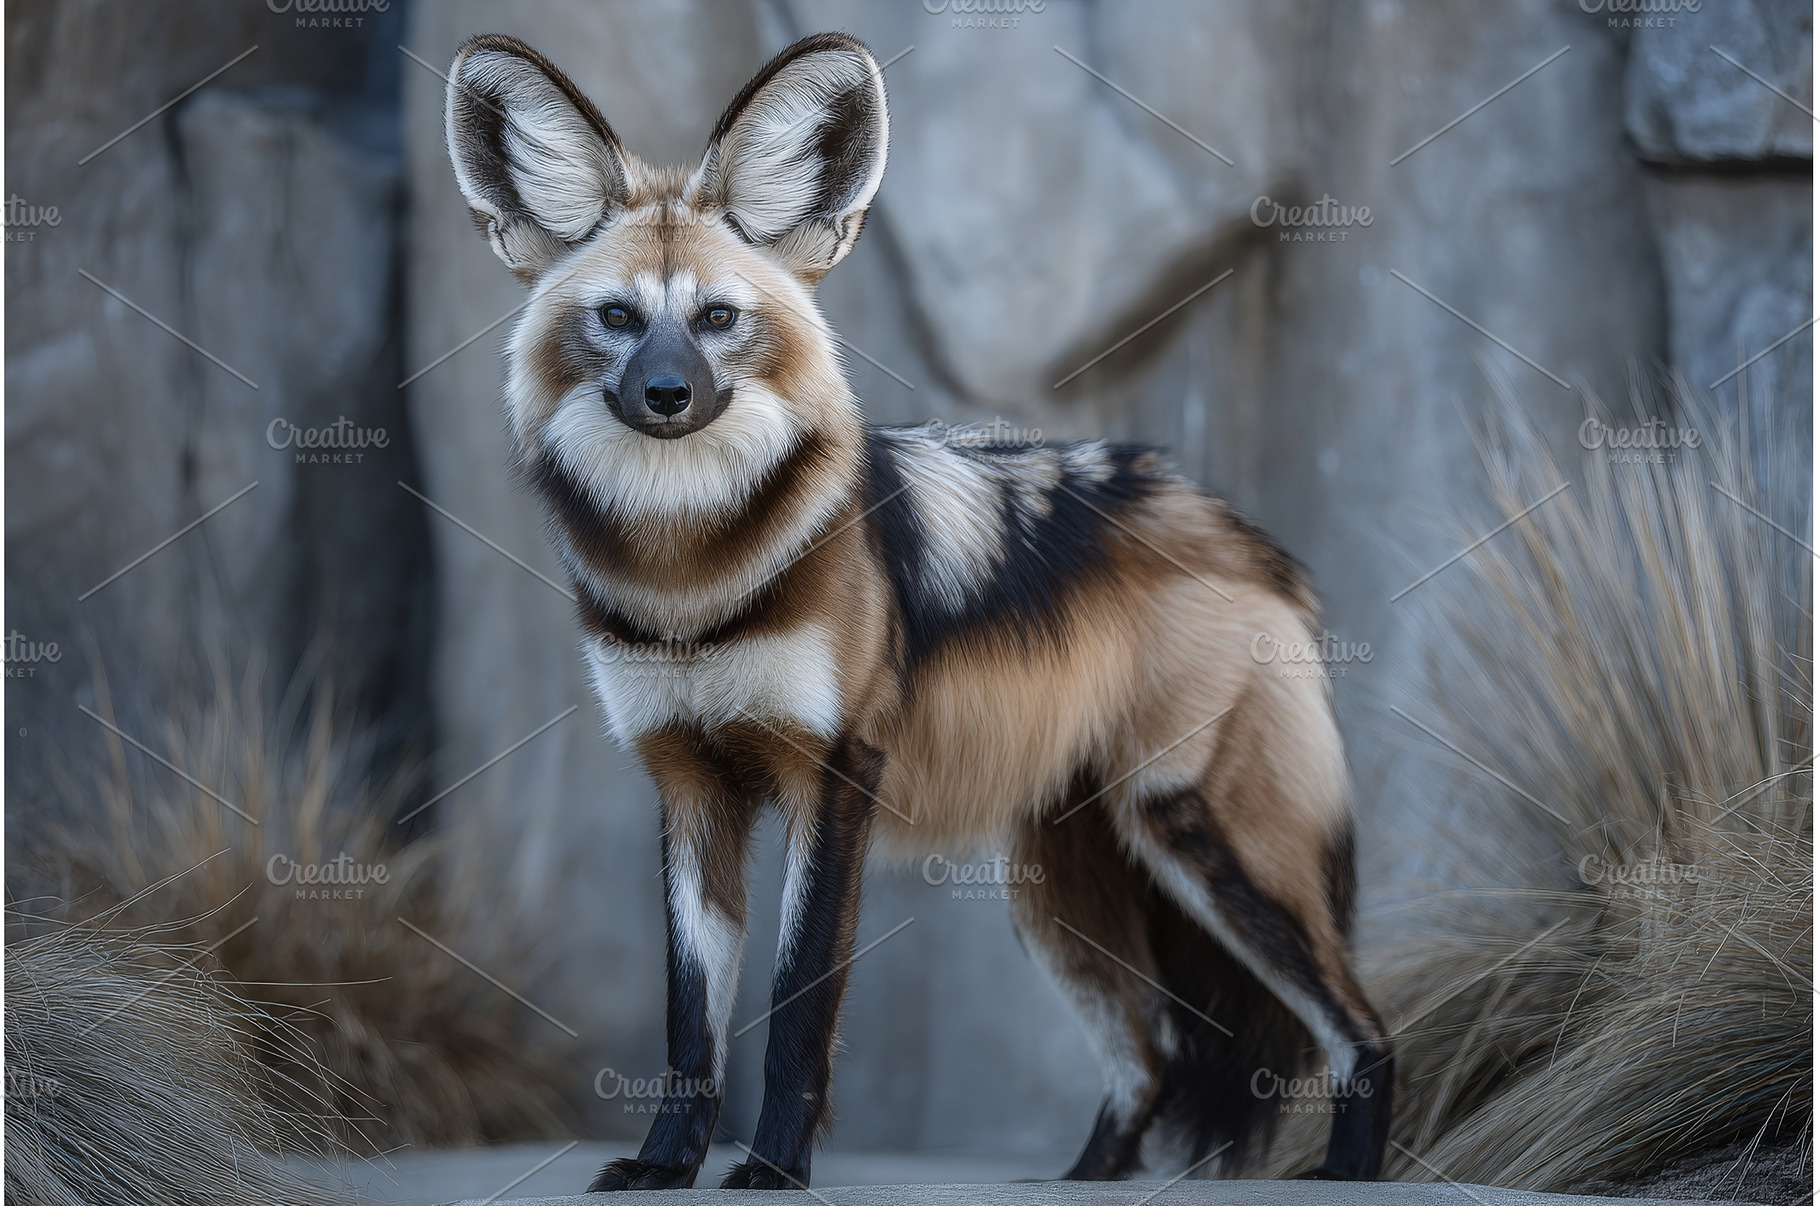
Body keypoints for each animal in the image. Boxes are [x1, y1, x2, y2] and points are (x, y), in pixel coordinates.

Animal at [443, 31, 1392, 1191]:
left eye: (716, 319)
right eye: (618, 319)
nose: (666, 396)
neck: (692, 580)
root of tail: (1230, 521)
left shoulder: (832, 778)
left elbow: (797, 1012)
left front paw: (773, 1170)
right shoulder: (687, 785)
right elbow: (690, 1028)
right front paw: (665, 1168)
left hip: (1202, 842)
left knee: (1361, 1032)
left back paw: (1348, 1176)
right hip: (1059, 890)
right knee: (1151, 1057)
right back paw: (1083, 1181)